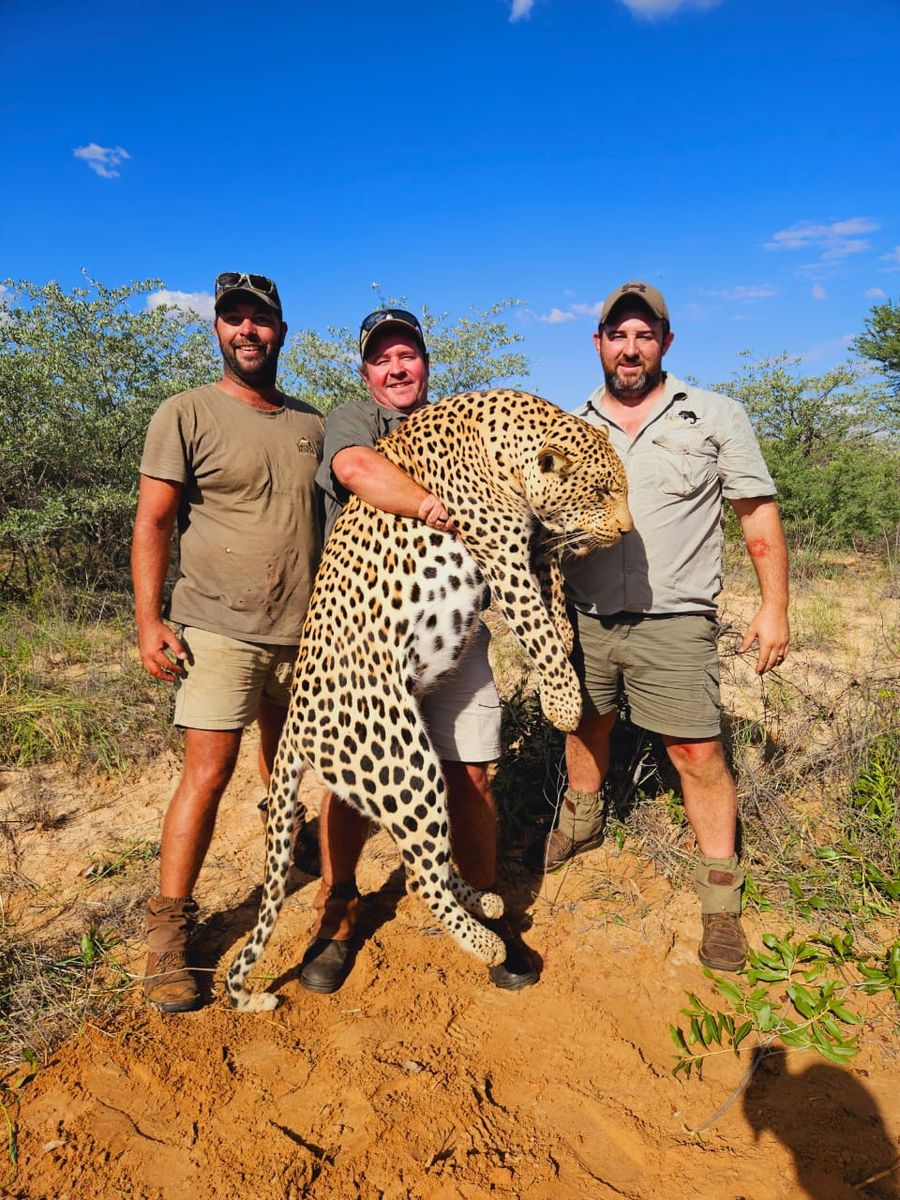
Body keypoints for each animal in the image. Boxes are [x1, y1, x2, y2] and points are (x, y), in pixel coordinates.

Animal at [226, 388, 632, 1011]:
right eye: (603, 492)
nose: (627, 531)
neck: (505, 445)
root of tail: (293, 725)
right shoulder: (500, 552)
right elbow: (533, 620)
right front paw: (564, 700)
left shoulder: (533, 545)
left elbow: (555, 588)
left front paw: (566, 639)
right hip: (403, 761)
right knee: (420, 873)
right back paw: (487, 943)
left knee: (431, 858)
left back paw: (487, 903)